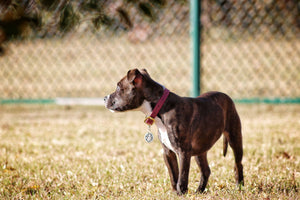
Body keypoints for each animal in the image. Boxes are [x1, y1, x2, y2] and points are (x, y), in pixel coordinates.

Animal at [103, 68, 244, 194]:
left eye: (118, 87)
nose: (104, 98)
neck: (161, 107)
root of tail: (226, 96)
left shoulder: (183, 152)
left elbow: (182, 176)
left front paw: (182, 192)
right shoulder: (168, 152)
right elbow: (173, 175)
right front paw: (175, 193)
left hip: (234, 138)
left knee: (238, 164)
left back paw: (239, 186)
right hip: (200, 150)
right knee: (206, 170)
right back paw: (199, 191)